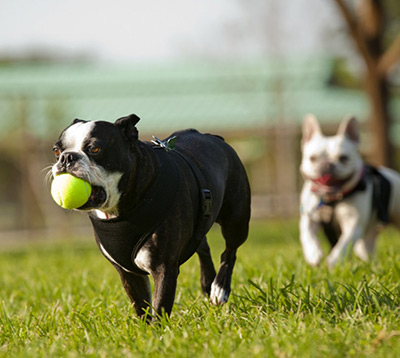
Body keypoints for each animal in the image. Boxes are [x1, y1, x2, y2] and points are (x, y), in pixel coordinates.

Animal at [50, 114, 250, 318]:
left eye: (94, 149)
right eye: (56, 151)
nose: (67, 157)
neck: (117, 212)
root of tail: (214, 137)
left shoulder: (164, 268)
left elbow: (160, 306)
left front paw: (160, 327)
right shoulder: (128, 274)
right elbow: (141, 307)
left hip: (237, 219)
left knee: (230, 251)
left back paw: (219, 288)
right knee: (202, 244)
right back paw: (208, 282)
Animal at [298, 114, 400, 266]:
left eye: (343, 158)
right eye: (313, 158)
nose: (327, 165)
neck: (331, 199)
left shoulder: (353, 225)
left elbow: (344, 244)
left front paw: (333, 261)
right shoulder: (309, 218)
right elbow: (308, 235)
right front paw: (313, 254)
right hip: (368, 234)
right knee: (365, 247)